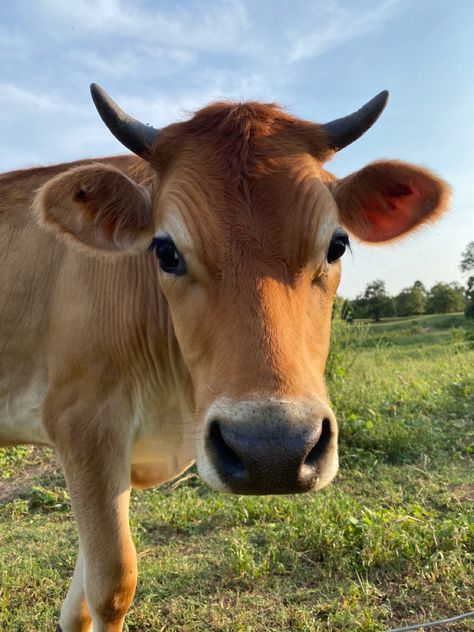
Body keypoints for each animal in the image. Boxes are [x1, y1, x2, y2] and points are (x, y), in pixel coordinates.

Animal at [0, 85, 452, 632]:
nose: (272, 451)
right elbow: (111, 585)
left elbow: (83, 601)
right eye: (165, 250)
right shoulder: (83, 423)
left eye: (337, 244)